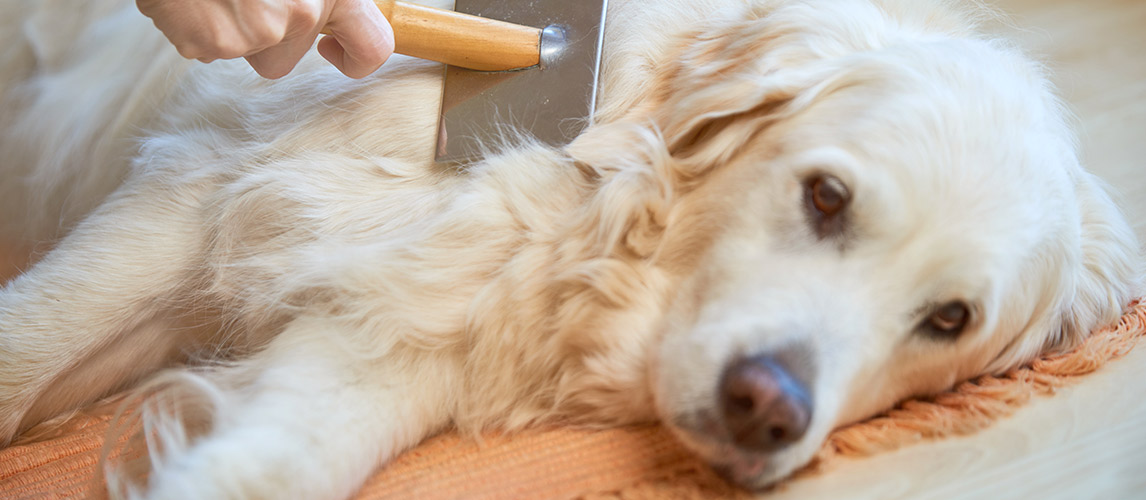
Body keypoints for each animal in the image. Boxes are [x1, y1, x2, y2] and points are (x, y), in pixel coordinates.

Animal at [0, 0, 1136, 497]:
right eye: (826, 197)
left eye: (949, 319)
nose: (766, 408)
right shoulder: (199, 195)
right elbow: (27, 345)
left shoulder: (402, 320)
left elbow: (283, 459)